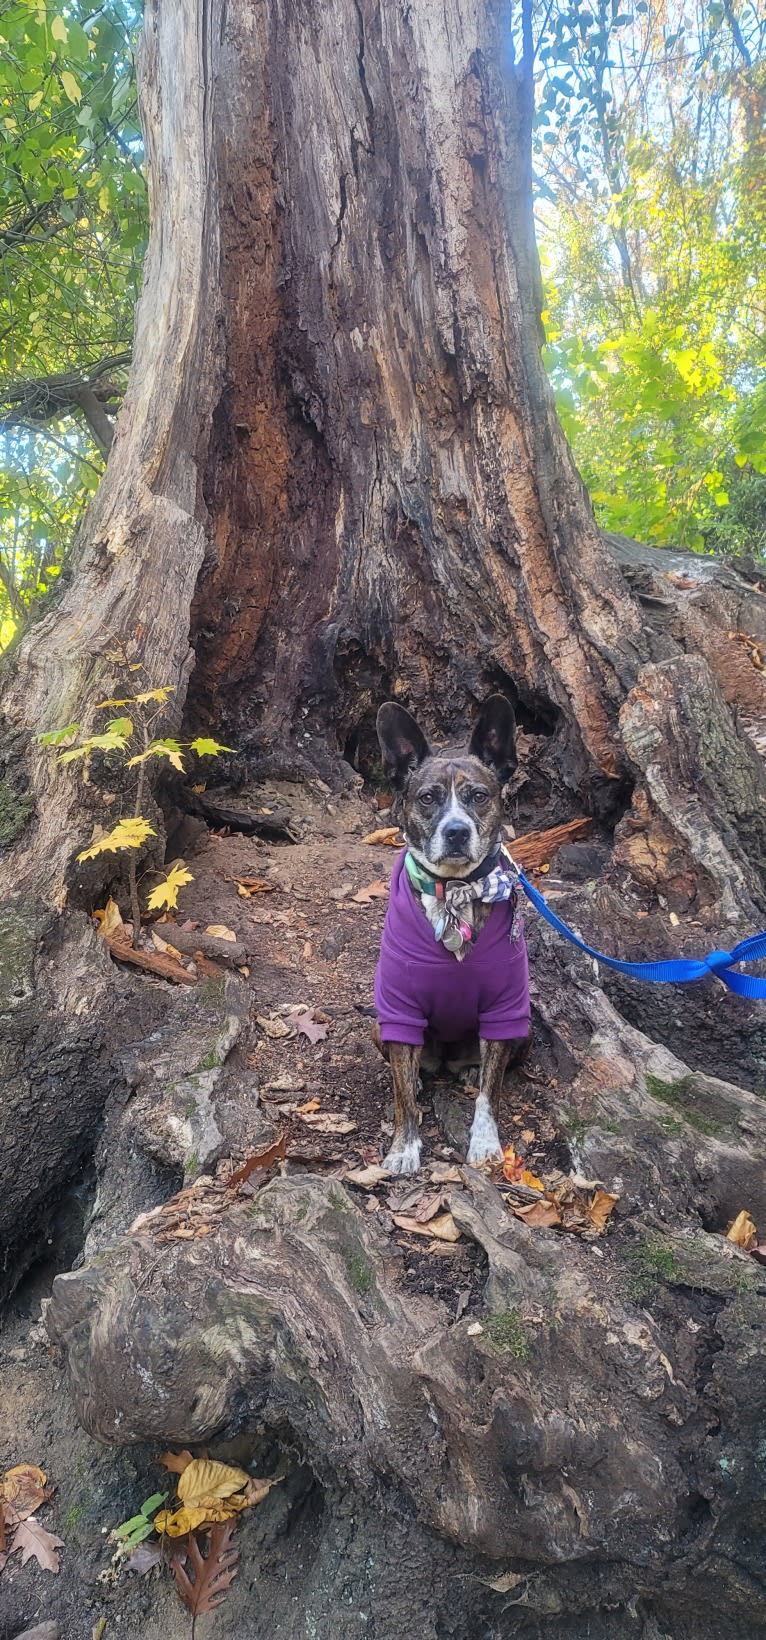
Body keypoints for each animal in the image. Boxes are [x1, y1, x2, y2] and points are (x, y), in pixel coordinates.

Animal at [373, 698, 531, 1174]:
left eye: (478, 796)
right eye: (428, 798)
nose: (457, 831)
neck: (455, 890)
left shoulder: (505, 1007)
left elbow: (489, 1095)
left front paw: (485, 1142)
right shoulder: (399, 1008)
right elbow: (402, 1097)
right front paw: (404, 1148)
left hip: (524, 1024)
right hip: (379, 1024)